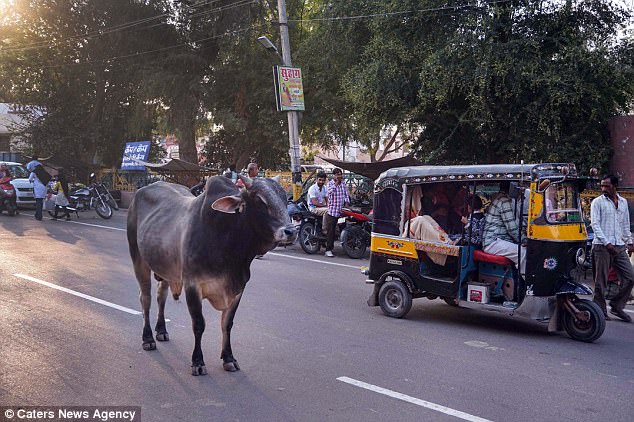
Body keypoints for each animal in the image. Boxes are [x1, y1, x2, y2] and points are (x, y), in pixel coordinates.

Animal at [129, 176, 298, 374]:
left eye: (285, 198)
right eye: (259, 200)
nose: (291, 231)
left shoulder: (239, 289)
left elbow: (227, 324)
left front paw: (229, 358)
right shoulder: (192, 285)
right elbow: (199, 324)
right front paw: (198, 362)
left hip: (165, 267)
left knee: (160, 295)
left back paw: (161, 330)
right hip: (139, 260)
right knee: (145, 298)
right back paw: (148, 338)